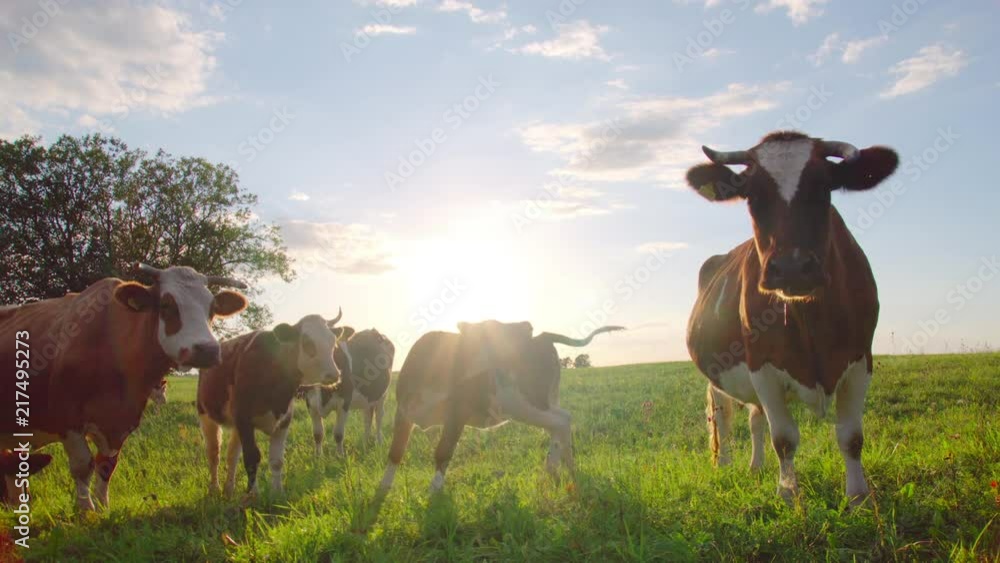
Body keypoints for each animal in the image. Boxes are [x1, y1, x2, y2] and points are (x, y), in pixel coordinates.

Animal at [0, 264, 248, 511]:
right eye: (166, 305)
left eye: (212, 309)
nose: (207, 350)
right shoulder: (67, 419)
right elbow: (82, 465)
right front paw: (86, 510)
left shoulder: (121, 423)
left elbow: (107, 465)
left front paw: (102, 507)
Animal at [196, 310, 349, 498]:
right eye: (307, 342)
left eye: (332, 342)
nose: (334, 374)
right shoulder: (244, 419)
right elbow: (252, 457)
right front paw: (253, 494)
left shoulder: (283, 421)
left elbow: (277, 460)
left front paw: (278, 492)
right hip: (205, 414)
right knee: (213, 453)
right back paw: (214, 488)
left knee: (232, 454)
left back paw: (229, 489)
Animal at [299, 327, 396, 456]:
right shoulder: (310, 404)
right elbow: (317, 434)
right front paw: (318, 456)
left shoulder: (344, 402)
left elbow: (338, 434)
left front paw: (340, 456)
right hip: (367, 398)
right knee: (367, 419)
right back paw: (365, 444)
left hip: (382, 395)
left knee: (379, 418)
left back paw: (378, 442)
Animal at [378, 321, 623, 494]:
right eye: (497, 325)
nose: (528, 325)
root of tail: (543, 338)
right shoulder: (403, 411)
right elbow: (395, 452)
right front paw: (382, 489)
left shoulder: (458, 412)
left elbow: (443, 452)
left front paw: (434, 492)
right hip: (538, 401)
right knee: (559, 423)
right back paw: (564, 469)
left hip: (521, 402)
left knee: (562, 420)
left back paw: (555, 470)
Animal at [685, 131, 898, 504]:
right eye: (752, 195)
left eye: (824, 187)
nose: (792, 267)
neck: (809, 318)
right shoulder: (762, 365)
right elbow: (784, 438)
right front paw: (787, 494)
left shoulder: (861, 360)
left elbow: (851, 436)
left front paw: (858, 497)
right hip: (718, 374)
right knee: (722, 417)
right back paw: (725, 466)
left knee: (755, 418)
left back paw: (756, 467)